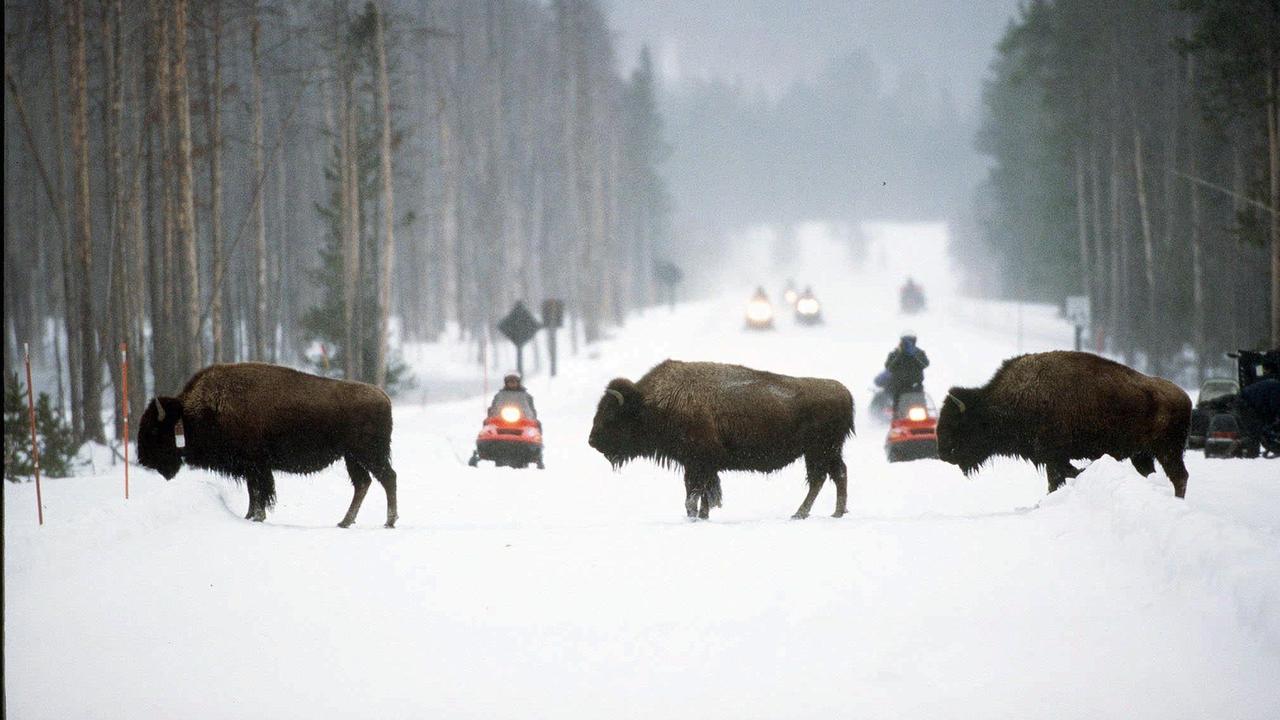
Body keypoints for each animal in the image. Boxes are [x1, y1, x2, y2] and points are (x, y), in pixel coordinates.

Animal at [133, 361, 396, 525]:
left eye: (154, 429)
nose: (144, 459)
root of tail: (384, 396)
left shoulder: (256, 465)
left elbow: (260, 492)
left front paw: (257, 517)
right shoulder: (252, 468)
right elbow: (253, 492)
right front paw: (250, 516)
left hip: (368, 454)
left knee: (387, 478)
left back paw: (389, 521)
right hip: (352, 458)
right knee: (363, 483)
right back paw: (345, 522)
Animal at [591, 358, 860, 515]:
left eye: (611, 415)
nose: (592, 441)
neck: (650, 403)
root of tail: (844, 392)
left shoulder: (698, 463)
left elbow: (694, 494)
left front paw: (695, 515)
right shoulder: (699, 465)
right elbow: (701, 492)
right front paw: (702, 516)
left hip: (818, 451)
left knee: (820, 479)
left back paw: (800, 514)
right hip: (827, 451)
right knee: (838, 474)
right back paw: (836, 512)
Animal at [936, 351, 1192, 497]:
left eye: (957, 423)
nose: (943, 452)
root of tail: (1185, 397)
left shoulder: (1054, 457)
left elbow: (1059, 479)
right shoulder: (1053, 458)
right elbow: (1061, 477)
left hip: (1167, 451)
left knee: (1180, 477)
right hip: (1143, 455)